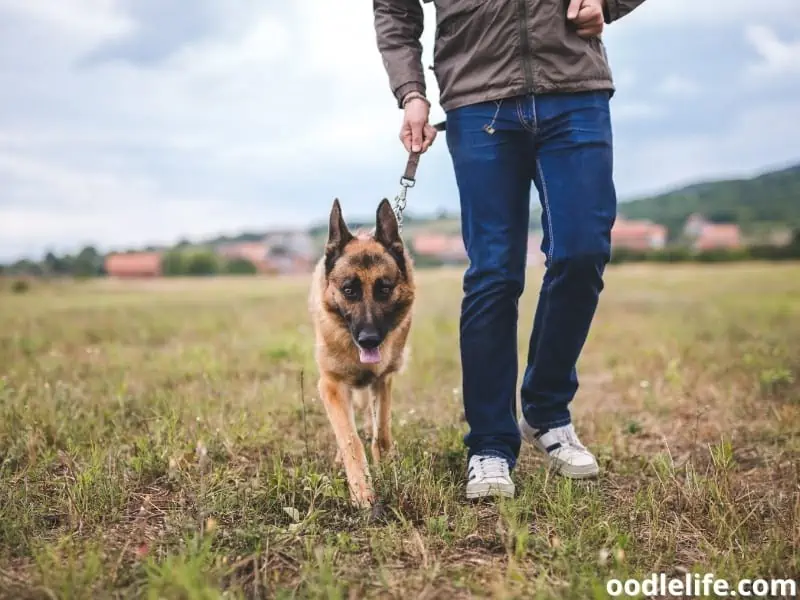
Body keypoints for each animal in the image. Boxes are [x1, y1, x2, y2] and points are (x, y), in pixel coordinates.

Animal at [308, 199, 416, 508]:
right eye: (349, 290)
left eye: (384, 289)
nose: (369, 340)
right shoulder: (332, 386)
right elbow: (350, 440)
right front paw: (362, 491)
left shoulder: (383, 380)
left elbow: (382, 433)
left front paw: (387, 468)